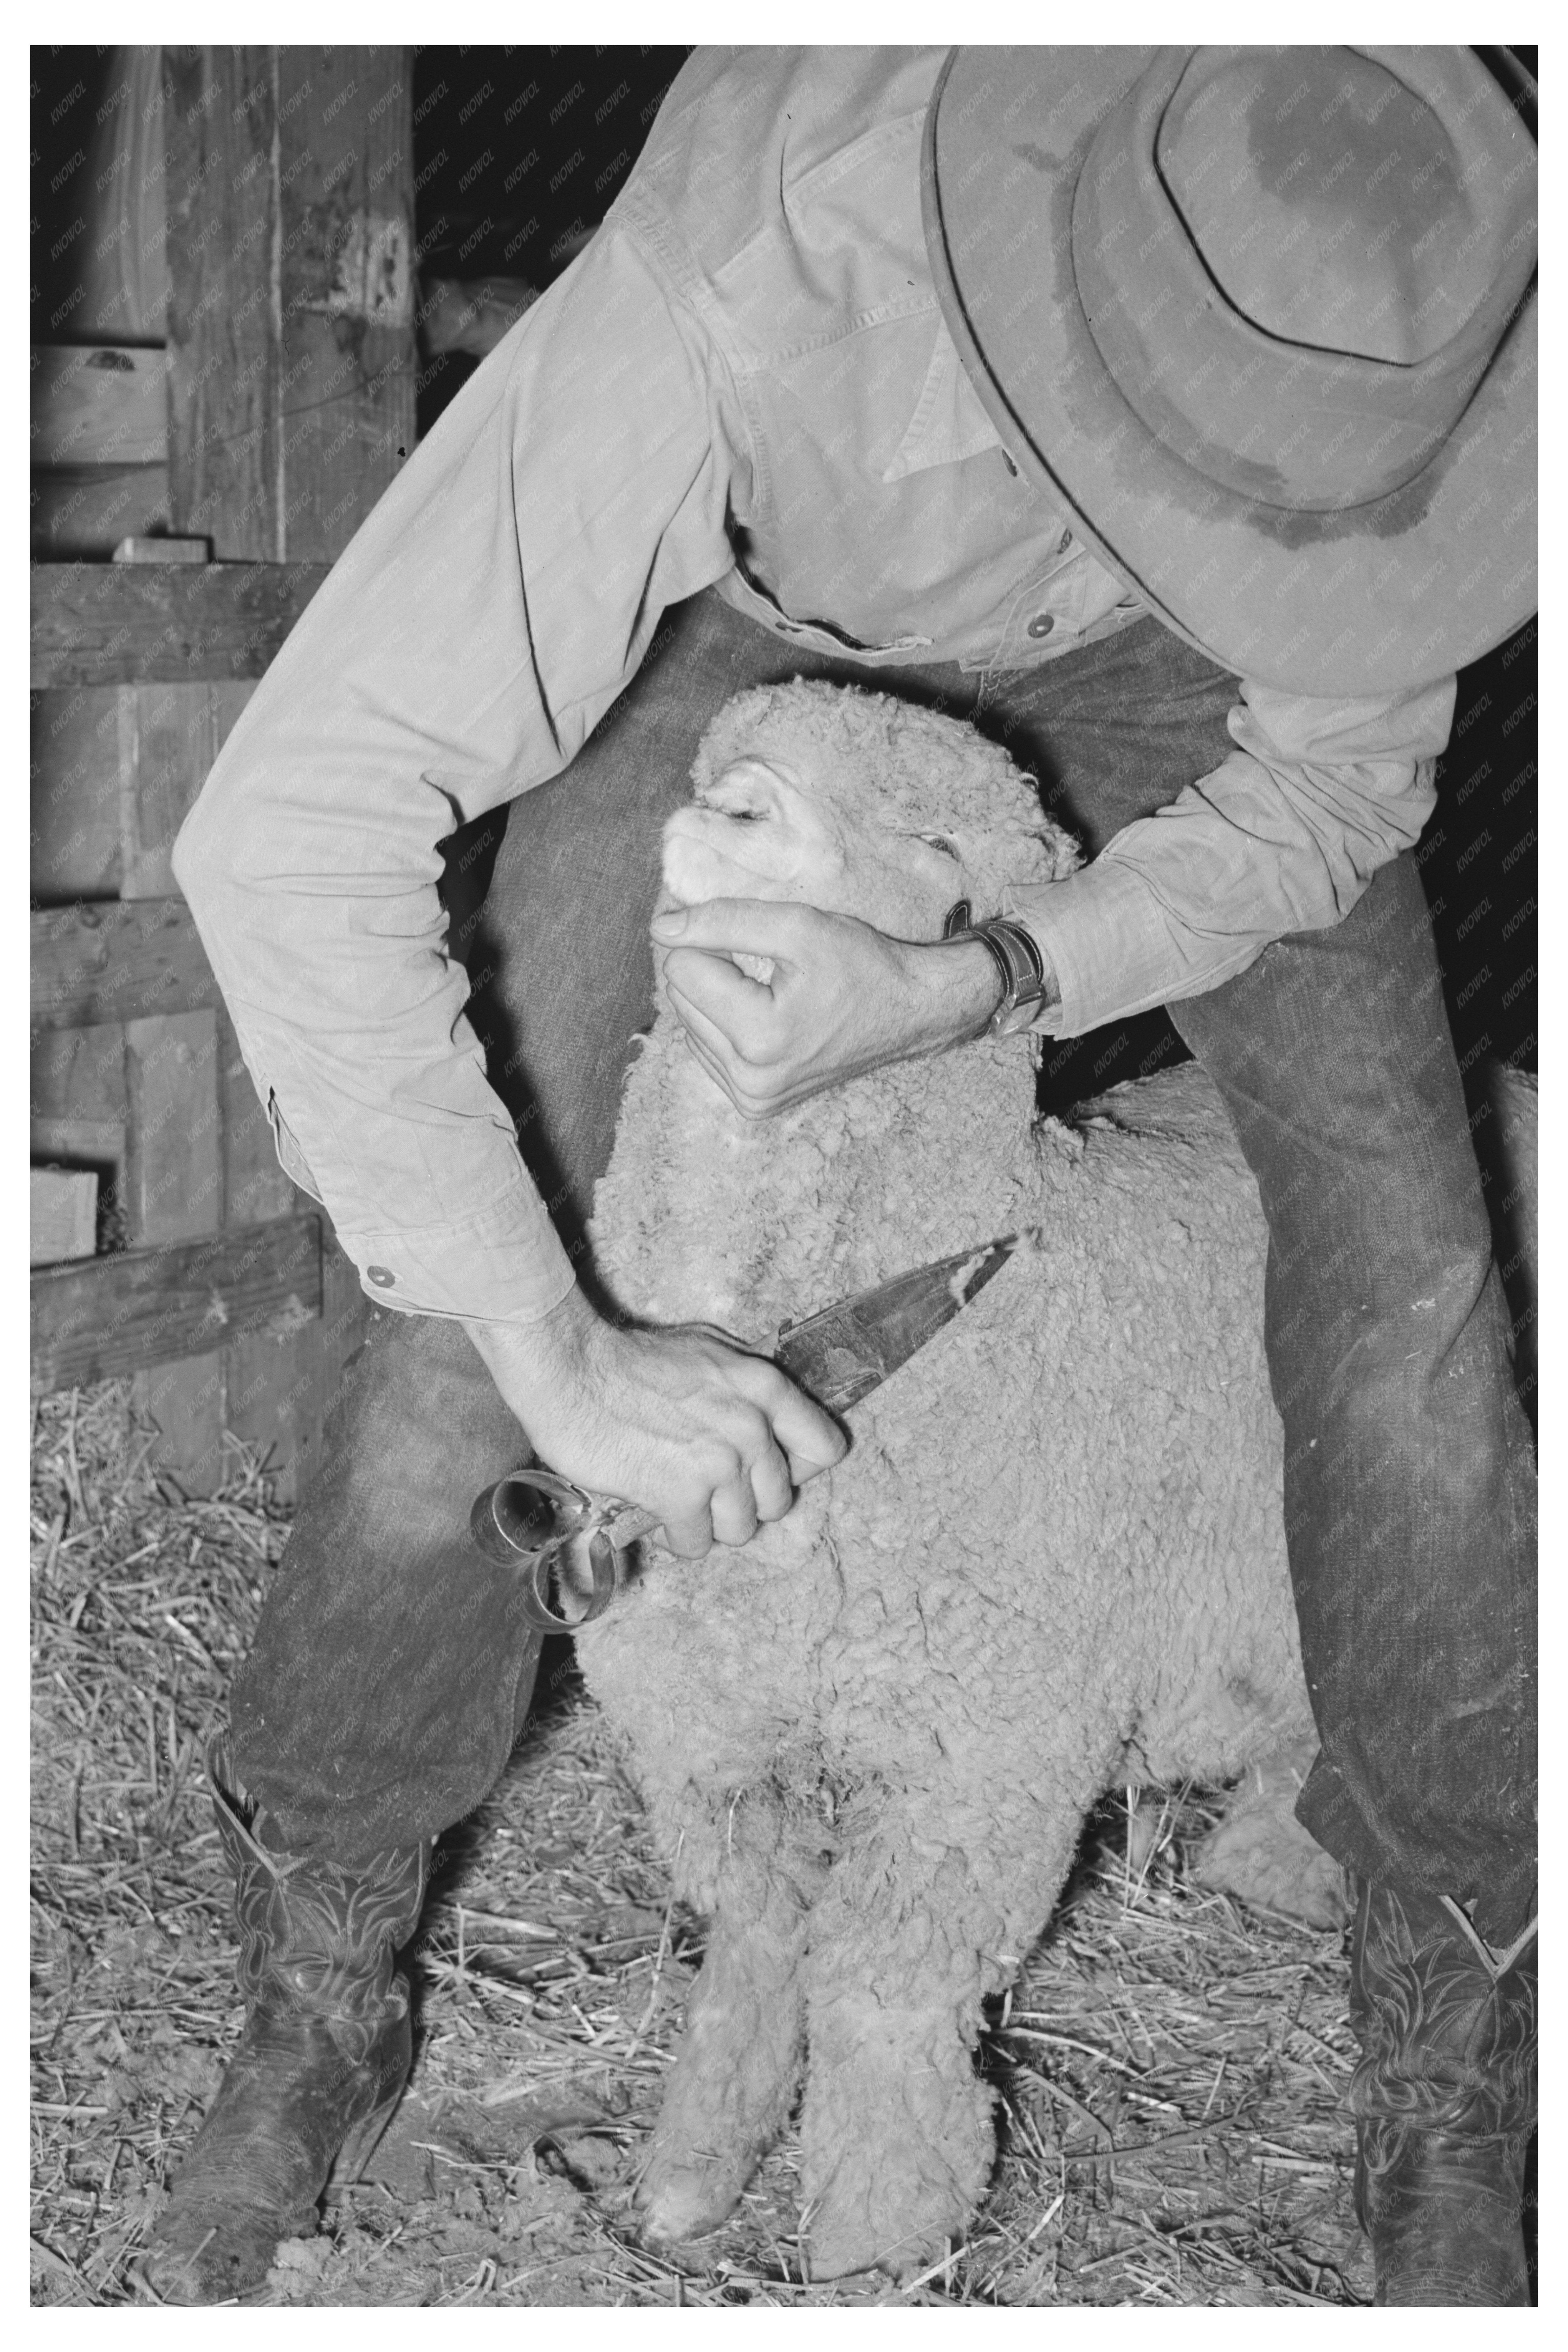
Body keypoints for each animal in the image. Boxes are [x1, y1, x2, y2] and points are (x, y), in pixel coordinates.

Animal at [571, 682, 1335, 2277]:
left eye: (933, 842)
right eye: (725, 757)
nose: (734, 807)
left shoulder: (979, 1755)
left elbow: (881, 1985)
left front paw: (876, 2236)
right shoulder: (708, 1734)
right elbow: (756, 1946)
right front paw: (690, 2177)